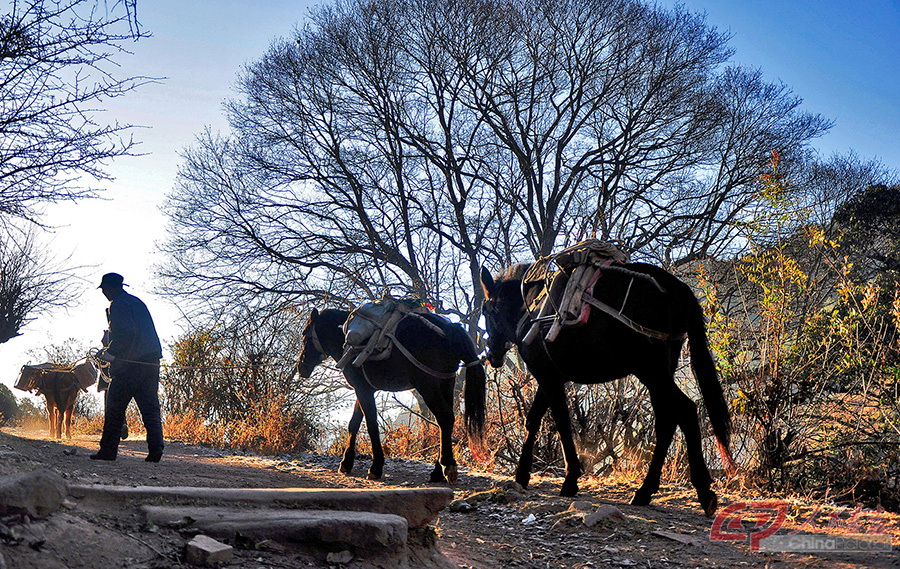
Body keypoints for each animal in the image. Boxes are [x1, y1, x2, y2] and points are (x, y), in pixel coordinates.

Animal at [298, 308, 486, 482]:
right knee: (446, 422)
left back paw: (448, 466)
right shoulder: (363, 389)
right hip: (446, 383)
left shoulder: (362, 390)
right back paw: (437, 471)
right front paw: (346, 463)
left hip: (428, 386)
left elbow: (371, 425)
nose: (301, 367)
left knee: (445, 418)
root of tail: (450, 329)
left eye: (305, 336)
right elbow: (354, 424)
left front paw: (376, 467)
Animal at [478, 262, 732, 516]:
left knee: (686, 410)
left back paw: (702, 491)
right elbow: (533, 420)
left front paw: (569, 479)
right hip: (660, 372)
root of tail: (671, 285)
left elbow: (560, 422)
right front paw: (523, 475)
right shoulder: (550, 378)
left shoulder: (547, 376)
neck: (531, 308)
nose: (492, 354)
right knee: (667, 421)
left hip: (650, 369)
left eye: (486, 312)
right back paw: (646, 491)